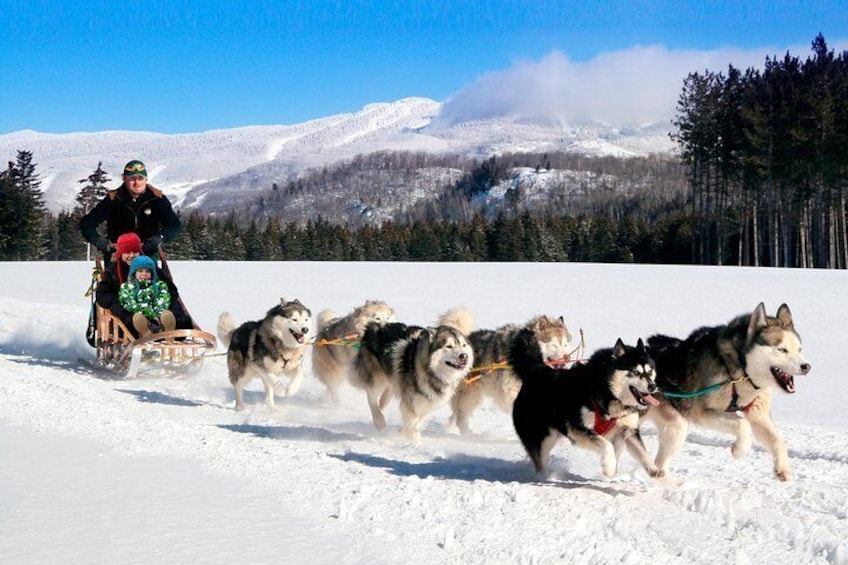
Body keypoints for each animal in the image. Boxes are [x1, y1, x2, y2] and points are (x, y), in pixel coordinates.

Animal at [350, 308, 474, 446]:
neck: (428, 371)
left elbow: (416, 423)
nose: (464, 356)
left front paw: (402, 433)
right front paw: (416, 445)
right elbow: (413, 426)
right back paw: (379, 421)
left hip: (393, 379)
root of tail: (376, 325)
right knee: (371, 396)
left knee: (386, 394)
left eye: (463, 345)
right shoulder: (410, 404)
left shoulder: (425, 404)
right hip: (377, 378)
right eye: (449, 346)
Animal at [506, 328, 660, 478]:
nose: (653, 386)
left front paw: (655, 470)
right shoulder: (577, 429)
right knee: (540, 462)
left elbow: (642, 452)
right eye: (635, 372)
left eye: (650, 371)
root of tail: (535, 370)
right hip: (543, 439)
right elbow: (606, 445)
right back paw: (544, 477)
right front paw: (609, 467)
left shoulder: (628, 430)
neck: (608, 392)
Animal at [644, 302, 812, 482]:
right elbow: (743, 424)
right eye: (782, 350)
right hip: (678, 425)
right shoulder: (702, 412)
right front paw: (739, 450)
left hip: (674, 427)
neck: (739, 371)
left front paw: (782, 469)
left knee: (659, 463)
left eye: (799, 349)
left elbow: (777, 439)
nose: (806, 366)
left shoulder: (758, 414)